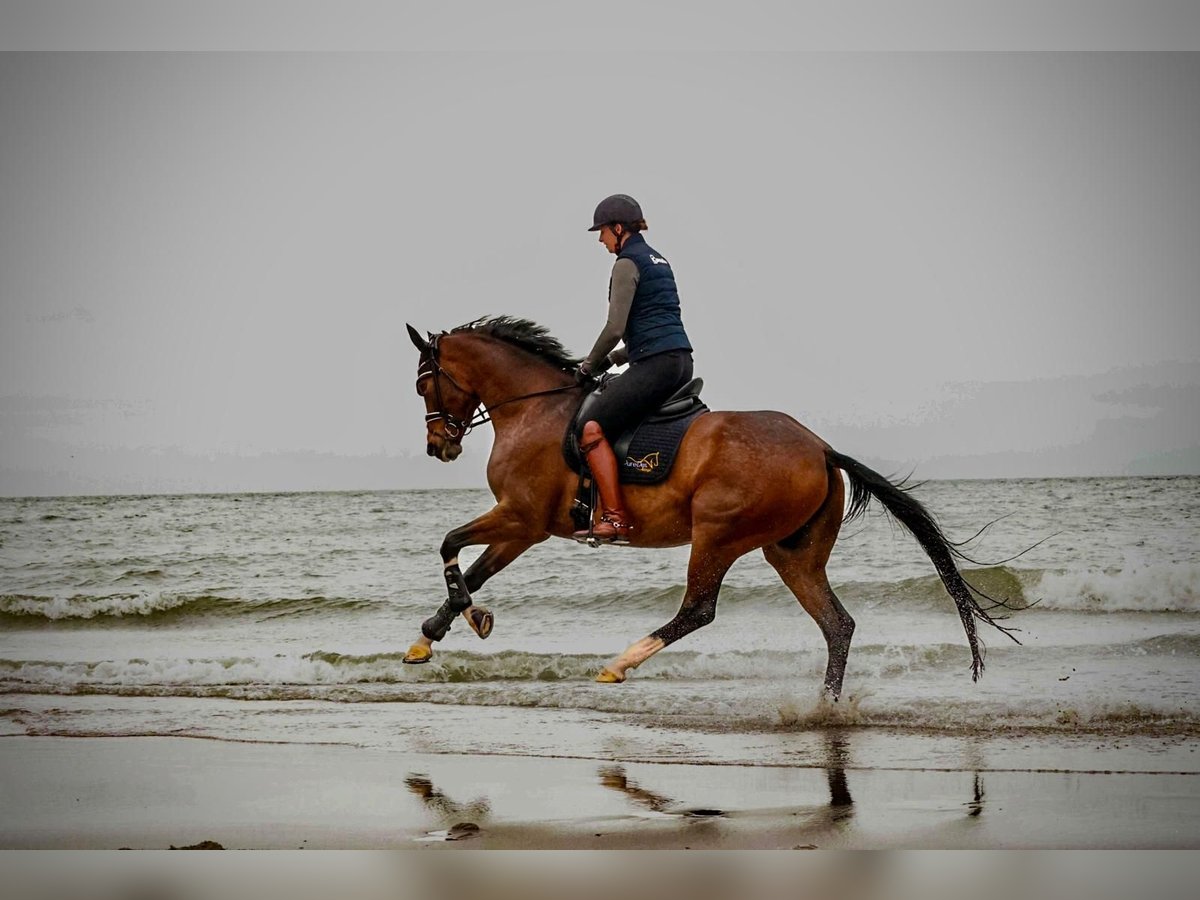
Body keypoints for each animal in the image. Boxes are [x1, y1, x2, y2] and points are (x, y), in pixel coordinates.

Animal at [403, 316, 1017, 697]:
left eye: (424, 386)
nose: (438, 447)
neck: (533, 409)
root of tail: (820, 447)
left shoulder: (522, 517)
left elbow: (450, 545)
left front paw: (466, 618)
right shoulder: (523, 526)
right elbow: (474, 570)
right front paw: (429, 636)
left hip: (718, 535)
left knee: (700, 609)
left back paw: (619, 664)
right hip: (791, 553)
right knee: (837, 624)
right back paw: (825, 705)